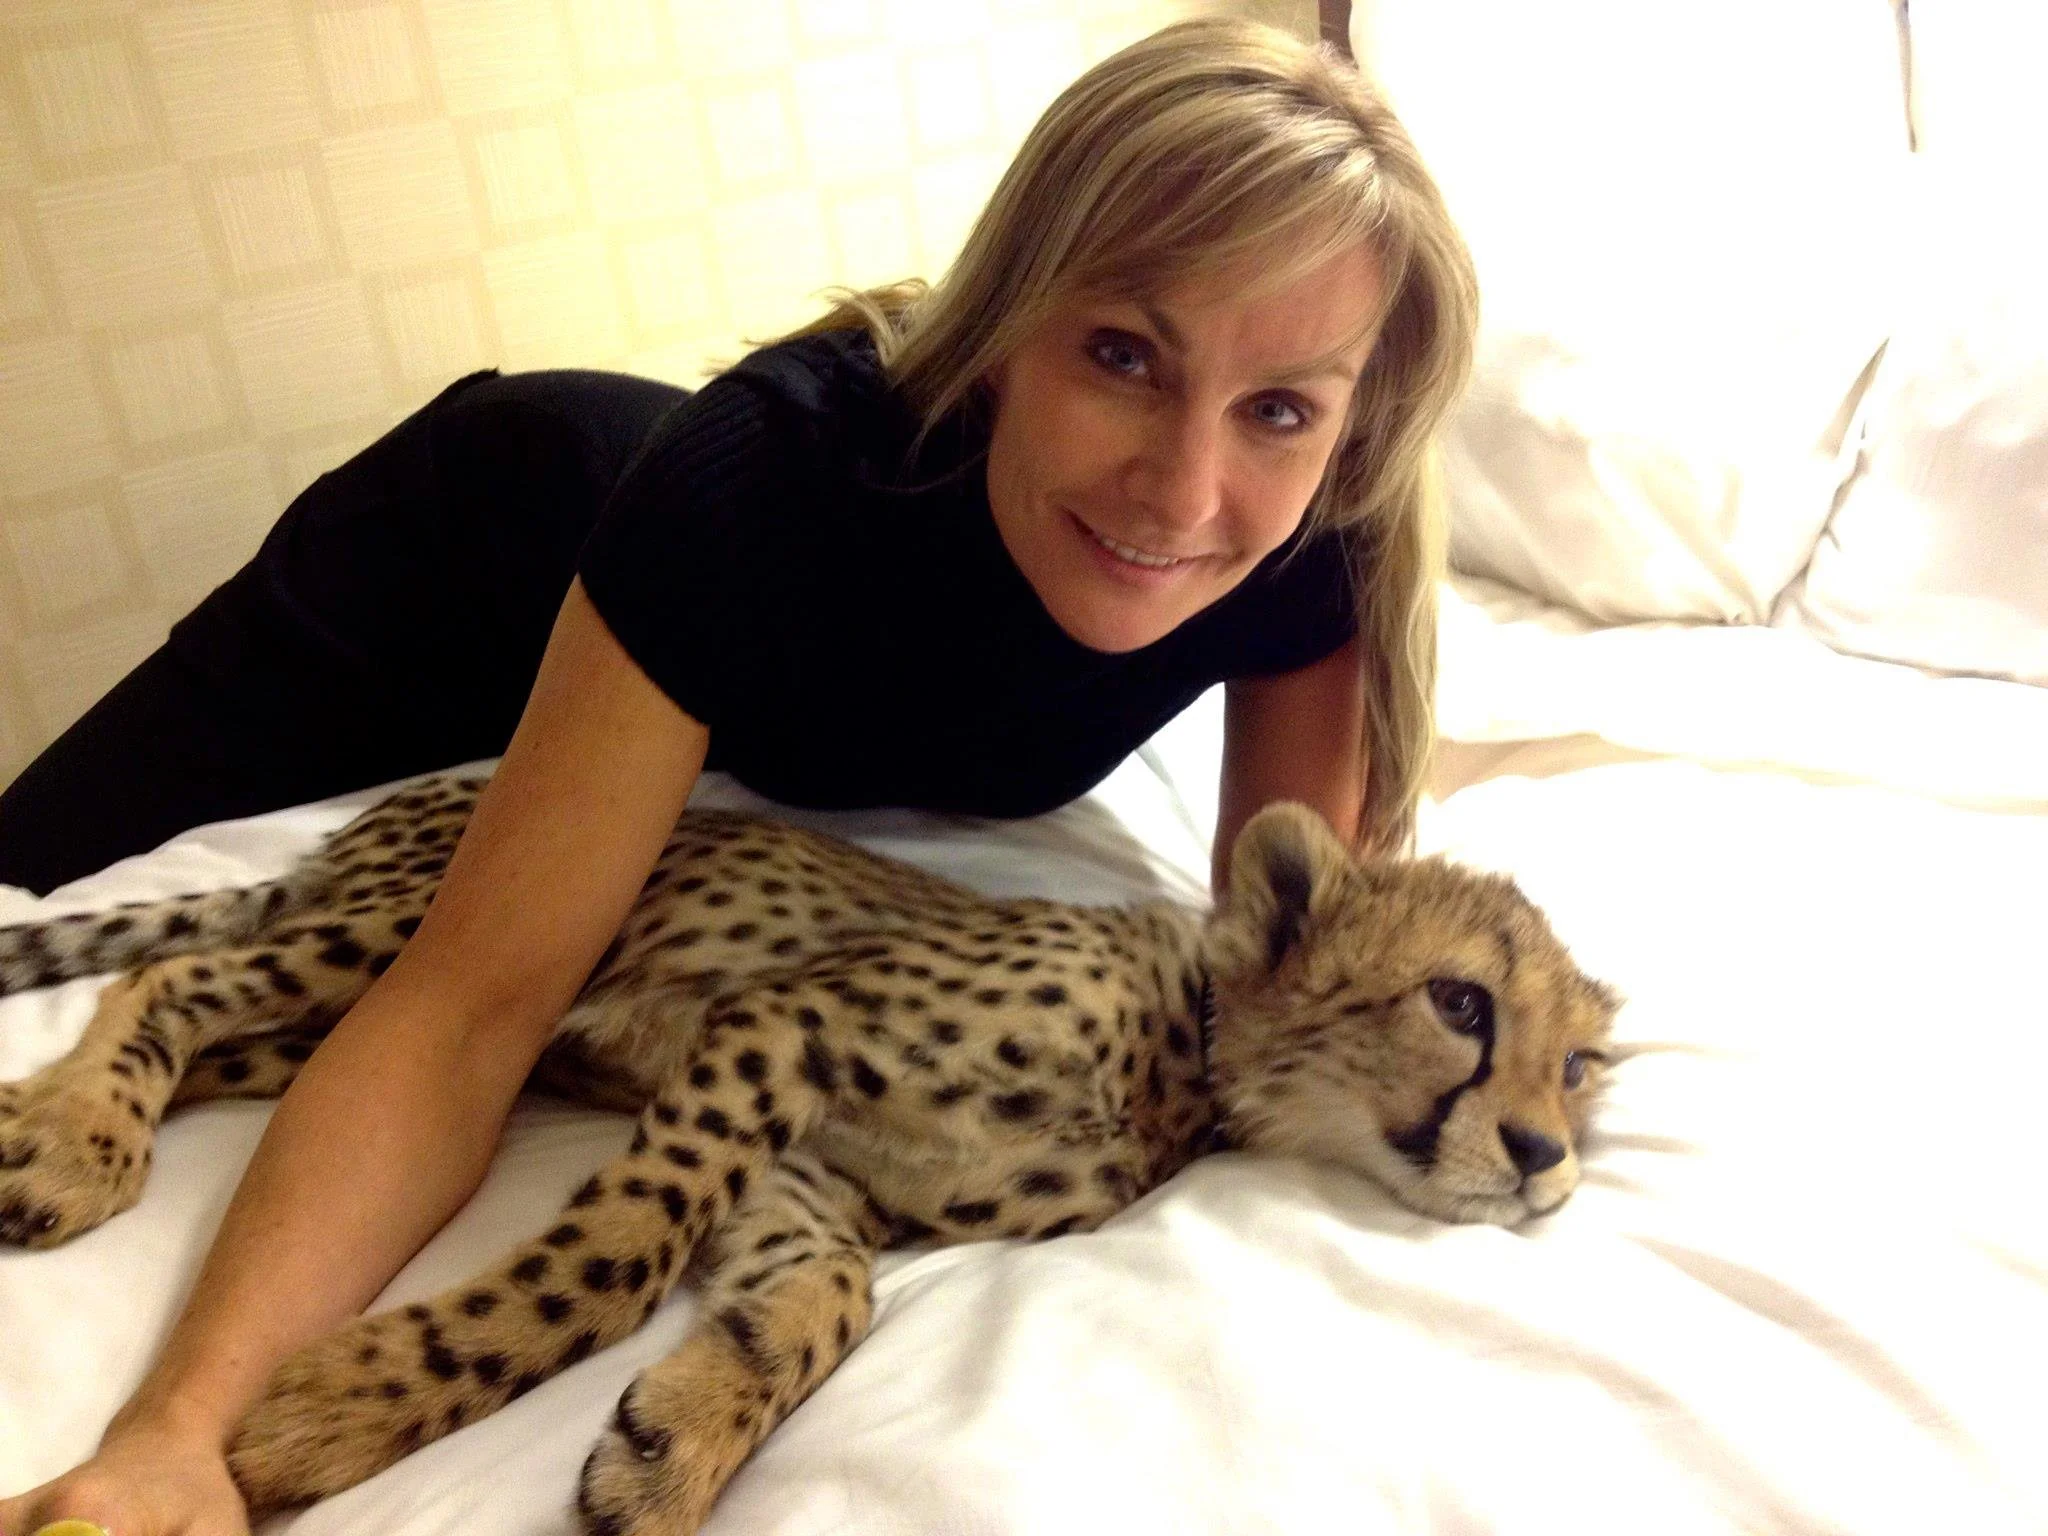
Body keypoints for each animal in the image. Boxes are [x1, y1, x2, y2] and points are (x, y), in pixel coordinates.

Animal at [0, 773, 1618, 1535]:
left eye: (1583, 1066)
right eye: (1461, 1003)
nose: (1545, 1157)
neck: (1184, 1057)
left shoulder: (812, 1168)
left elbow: (824, 1302)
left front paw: (676, 1442)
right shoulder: (778, 1029)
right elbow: (614, 1256)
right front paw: (343, 1405)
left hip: (368, 1017)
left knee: (221, 1036)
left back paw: (61, 1118)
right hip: (421, 942)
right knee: (177, 977)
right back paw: (78, 1140)